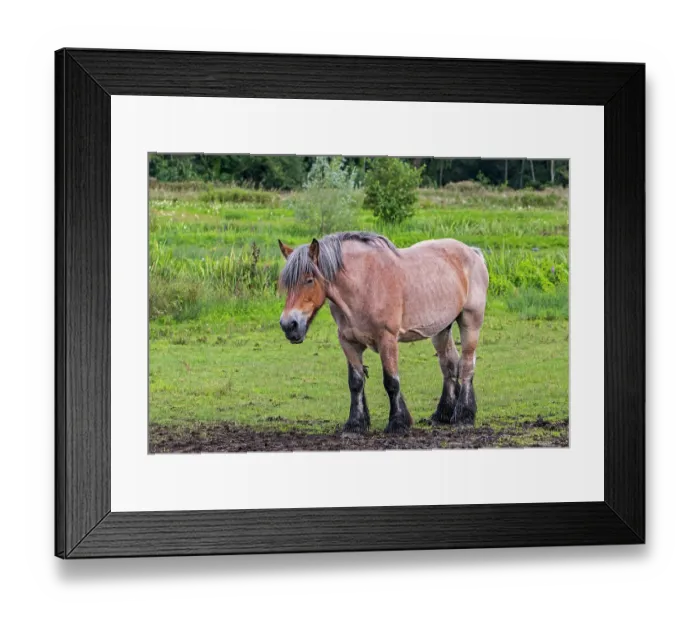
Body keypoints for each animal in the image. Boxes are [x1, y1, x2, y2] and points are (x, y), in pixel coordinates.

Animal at [277, 232, 489, 434]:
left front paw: (397, 423)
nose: (289, 325)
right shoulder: (348, 342)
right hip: (441, 329)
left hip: (470, 322)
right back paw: (443, 414)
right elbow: (355, 383)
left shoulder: (387, 339)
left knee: (466, 365)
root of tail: (472, 252)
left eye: (309, 280)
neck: (364, 284)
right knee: (449, 365)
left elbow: (391, 382)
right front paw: (355, 424)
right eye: (286, 284)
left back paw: (464, 416)